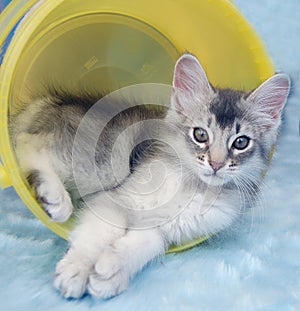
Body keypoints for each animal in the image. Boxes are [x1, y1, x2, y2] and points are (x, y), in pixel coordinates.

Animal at [10, 53, 290, 300]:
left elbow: (143, 246)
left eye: (240, 142)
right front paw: (77, 268)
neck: (193, 187)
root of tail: (48, 102)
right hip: (103, 163)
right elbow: (100, 233)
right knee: (28, 144)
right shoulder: (115, 200)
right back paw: (55, 197)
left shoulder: (161, 230)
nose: (216, 164)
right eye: (200, 135)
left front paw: (111, 272)